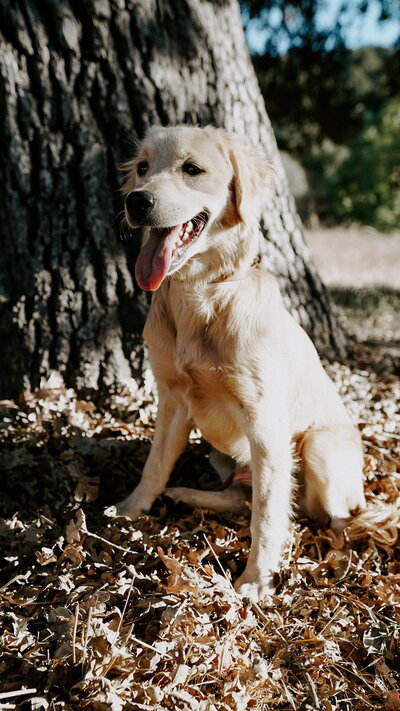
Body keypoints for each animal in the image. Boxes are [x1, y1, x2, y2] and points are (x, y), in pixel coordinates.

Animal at [111, 126, 366, 600]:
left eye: (192, 169)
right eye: (142, 167)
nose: (136, 202)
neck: (200, 293)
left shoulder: (265, 424)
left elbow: (266, 514)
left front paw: (255, 580)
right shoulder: (173, 399)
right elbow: (155, 465)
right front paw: (132, 508)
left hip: (317, 446)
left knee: (334, 518)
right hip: (220, 451)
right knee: (237, 495)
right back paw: (188, 494)